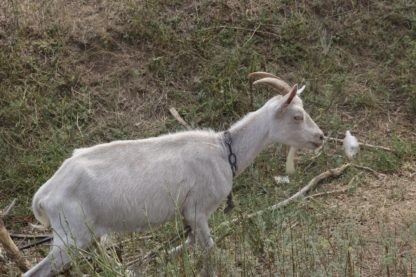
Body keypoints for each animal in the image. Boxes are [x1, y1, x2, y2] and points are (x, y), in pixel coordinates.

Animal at [24, 72, 324, 274]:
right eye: (297, 116)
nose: (320, 137)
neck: (224, 151)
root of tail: (44, 194)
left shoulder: (188, 214)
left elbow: (191, 245)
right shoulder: (198, 209)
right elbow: (210, 250)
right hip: (70, 236)